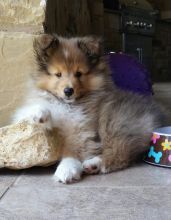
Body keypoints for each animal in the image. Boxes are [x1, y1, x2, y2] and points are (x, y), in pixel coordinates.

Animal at [12, 34, 165, 184]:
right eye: (58, 74)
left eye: (79, 73)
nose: (68, 91)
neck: (68, 105)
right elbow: (29, 111)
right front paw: (39, 114)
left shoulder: (83, 130)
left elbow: (73, 149)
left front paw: (67, 169)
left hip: (115, 123)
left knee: (118, 154)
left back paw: (93, 164)